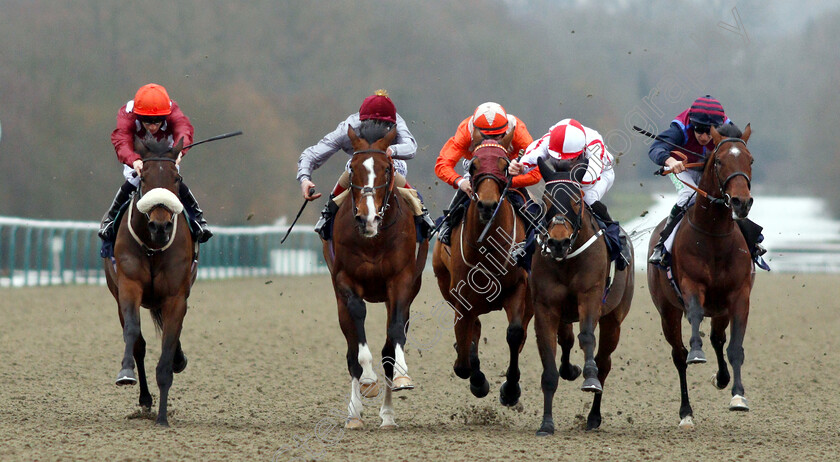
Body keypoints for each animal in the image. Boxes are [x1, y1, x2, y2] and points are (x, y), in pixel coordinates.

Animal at [103, 136, 195, 426]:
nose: (160, 226)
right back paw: (144, 399)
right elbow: (133, 334)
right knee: (139, 345)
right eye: (142, 177)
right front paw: (125, 373)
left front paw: (163, 418)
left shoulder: (176, 297)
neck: (153, 247)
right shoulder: (129, 286)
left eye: (176, 178)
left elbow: (167, 351)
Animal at [322, 122, 426, 430]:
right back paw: (354, 414)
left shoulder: (401, 281)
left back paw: (388, 416)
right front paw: (368, 380)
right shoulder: (345, 280)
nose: (367, 218)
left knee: (389, 347)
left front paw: (403, 376)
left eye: (387, 169)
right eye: (353, 168)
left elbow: (394, 335)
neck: (373, 239)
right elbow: (358, 331)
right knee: (350, 352)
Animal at [434, 130, 532, 408]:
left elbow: (514, 333)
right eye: (473, 166)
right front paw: (477, 380)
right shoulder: (460, 295)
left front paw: (510, 389)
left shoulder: (519, 286)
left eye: (504, 165)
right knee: (473, 328)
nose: (487, 205)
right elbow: (463, 358)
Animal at [532, 158, 636, 434]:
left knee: (604, 362)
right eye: (545, 201)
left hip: (614, 318)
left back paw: (593, 416)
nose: (557, 242)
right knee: (567, 341)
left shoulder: (590, 297)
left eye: (576, 200)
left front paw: (589, 376)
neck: (566, 260)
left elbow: (587, 337)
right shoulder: (545, 308)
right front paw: (546, 424)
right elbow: (549, 367)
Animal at [648, 123, 756, 430]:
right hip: (667, 311)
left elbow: (735, 347)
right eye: (718, 161)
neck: (715, 236)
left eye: (750, 160)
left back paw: (721, 378)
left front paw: (738, 397)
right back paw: (686, 412)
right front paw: (697, 353)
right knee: (678, 355)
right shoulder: (690, 285)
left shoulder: (739, 296)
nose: (741, 202)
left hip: (720, 310)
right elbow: (695, 316)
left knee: (718, 340)